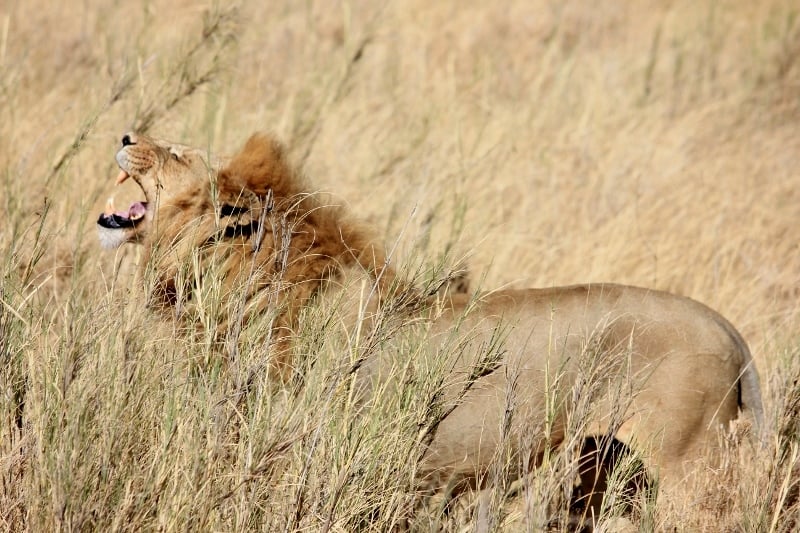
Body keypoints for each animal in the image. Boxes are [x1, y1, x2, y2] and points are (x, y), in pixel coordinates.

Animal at [97, 131, 764, 520]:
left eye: (178, 154)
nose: (127, 134)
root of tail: (731, 333)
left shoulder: (306, 462)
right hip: (601, 468)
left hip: (691, 467)